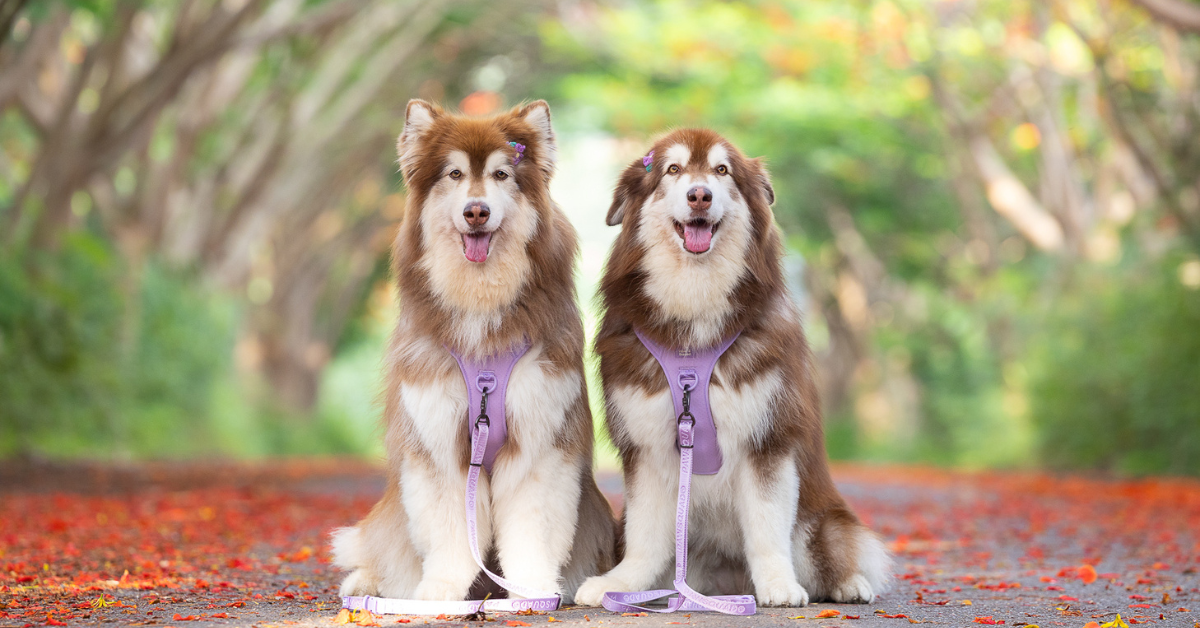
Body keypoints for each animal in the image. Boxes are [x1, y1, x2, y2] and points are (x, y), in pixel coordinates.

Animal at [336, 100, 624, 607]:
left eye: (501, 174)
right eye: (454, 174)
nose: (476, 211)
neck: (480, 304)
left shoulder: (538, 440)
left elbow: (530, 528)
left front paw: (532, 591)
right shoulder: (437, 444)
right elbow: (450, 531)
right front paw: (439, 593)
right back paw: (368, 583)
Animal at [571, 129, 892, 609]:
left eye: (722, 171)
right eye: (673, 170)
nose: (699, 195)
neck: (693, 316)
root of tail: (729, 581)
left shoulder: (768, 438)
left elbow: (766, 527)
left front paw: (779, 585)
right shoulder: (646, 443)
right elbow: (646, 534)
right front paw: (622, 582)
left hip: (822, 521)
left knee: (833, 551)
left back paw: (847, 584)